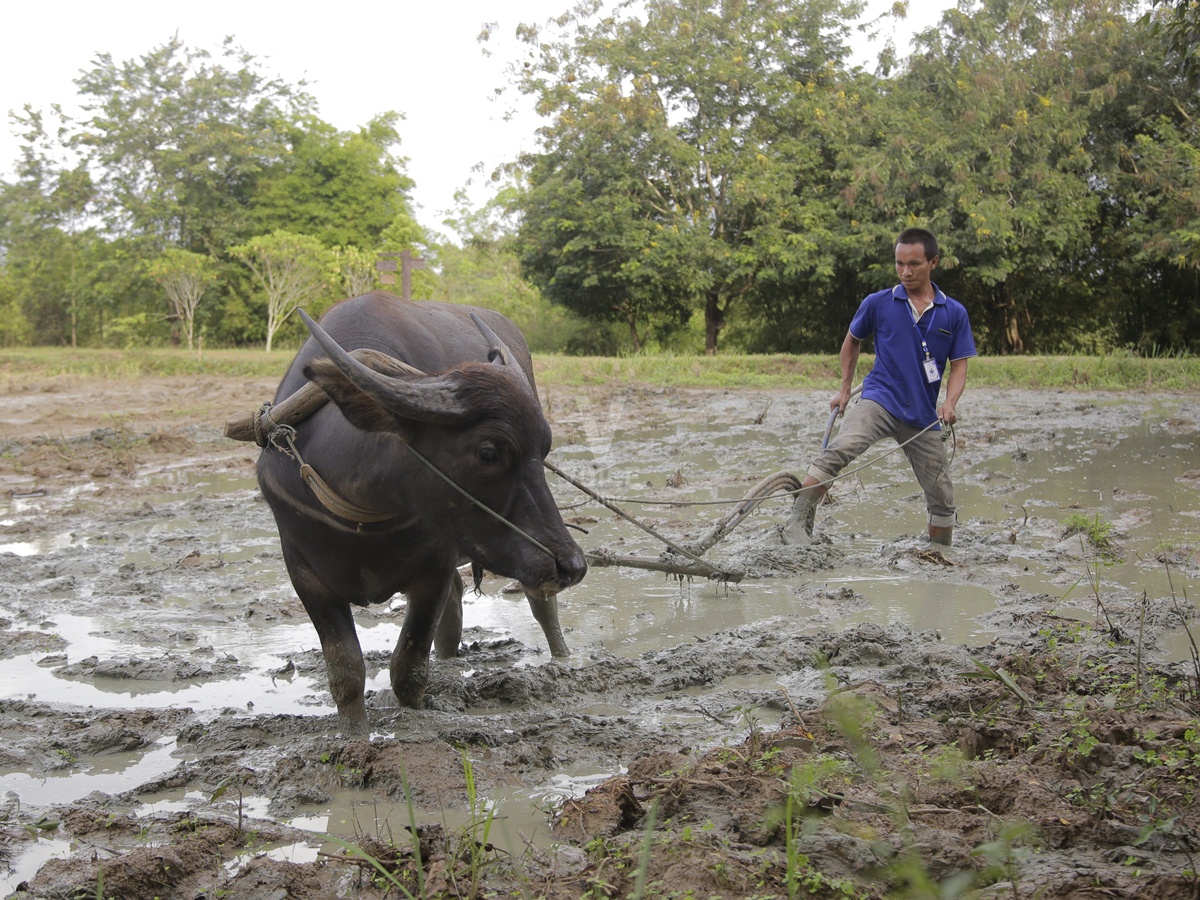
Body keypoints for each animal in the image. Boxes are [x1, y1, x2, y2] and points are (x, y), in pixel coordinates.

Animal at [256, 292, 585, 729]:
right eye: (487, 452)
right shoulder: (305, 575)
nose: (572, 565)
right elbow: (345, 672)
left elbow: (408, 668)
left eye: (543, 449)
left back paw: (563, 658)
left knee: (541, 603)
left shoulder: (434, 568)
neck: (362, 517)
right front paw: (355, 733)